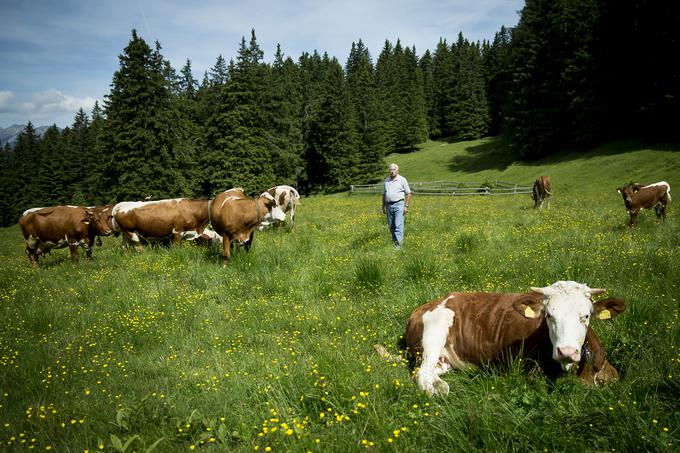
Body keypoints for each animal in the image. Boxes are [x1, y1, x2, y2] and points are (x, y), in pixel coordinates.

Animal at [374, 280, 624, 394]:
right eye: (549, 315)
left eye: (586, 316)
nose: (567, 351)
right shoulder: (531, 371)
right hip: (434, 333)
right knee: (421, 373)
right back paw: (440, 388)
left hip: (443, 360)